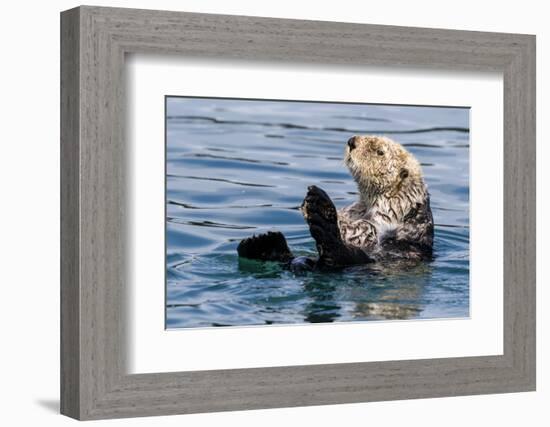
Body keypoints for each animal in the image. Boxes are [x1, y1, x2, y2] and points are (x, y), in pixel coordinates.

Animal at [237, 135, 436, 272]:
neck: (368, 204)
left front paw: (320, 212)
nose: (352, 141)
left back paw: (321, 211)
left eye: (380, 152)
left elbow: (361, 231)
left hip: (356, 259)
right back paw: (261, 244)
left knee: (337, 255)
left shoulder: (387, 215)